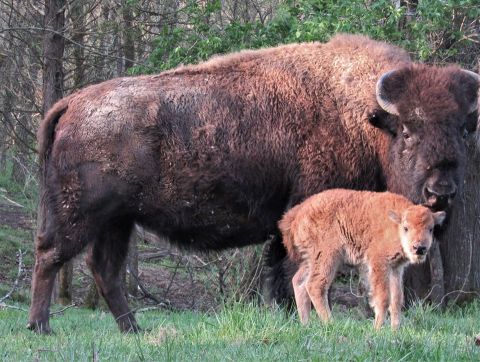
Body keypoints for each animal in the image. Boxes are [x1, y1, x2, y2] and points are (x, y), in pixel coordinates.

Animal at [282, 191, 446, 330]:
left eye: (431, 228)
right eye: (406, 228)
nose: (419, 248)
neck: (394, 224)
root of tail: (299, 211)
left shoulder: (396, 268)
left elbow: (397, 299)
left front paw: (395, 330)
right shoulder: (378, 264)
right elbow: (383, 297)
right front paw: (378, 329)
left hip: (310, 260)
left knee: (299, 281)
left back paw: (306, 324)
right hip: (327, 257)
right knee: (315, 285)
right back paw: (331, 324)